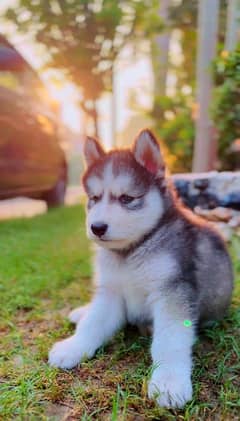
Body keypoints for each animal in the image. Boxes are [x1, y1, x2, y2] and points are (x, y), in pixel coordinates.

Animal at [48, 130, 232, 406]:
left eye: (127, 198)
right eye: (94, 199)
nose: (97, 227)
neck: (131, 252)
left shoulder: (172, 291)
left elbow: (169, 340)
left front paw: (169, 382)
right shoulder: (111, 291)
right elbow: (93, 323)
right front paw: (73, 346)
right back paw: (81, 312)